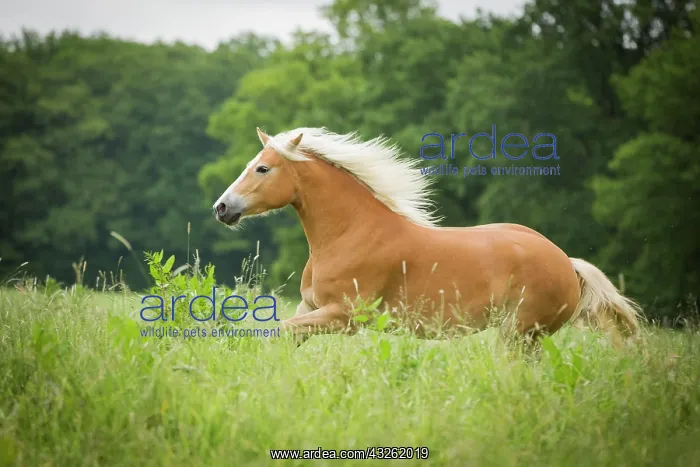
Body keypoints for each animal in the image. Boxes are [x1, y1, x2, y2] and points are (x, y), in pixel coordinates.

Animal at [212, 127, 642, 346]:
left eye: (263, 169)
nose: (222, 207)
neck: (350, 233)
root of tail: (567, 263)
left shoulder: (344, 316)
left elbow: (277, 332)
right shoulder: (310, 307)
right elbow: (281, 335)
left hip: (518, 334)